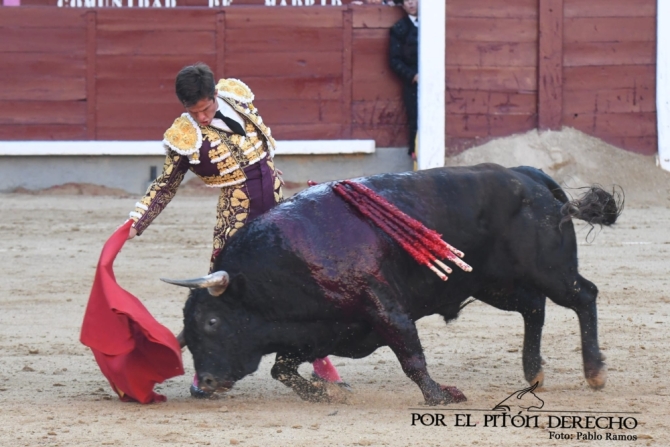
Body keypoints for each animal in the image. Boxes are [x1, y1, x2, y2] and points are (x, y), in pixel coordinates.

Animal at [169, 164, 624, 406]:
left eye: (211, 322)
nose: (205, 382)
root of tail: (526, 175)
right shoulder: (320, 330)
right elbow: (282, 368)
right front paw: (324, 395)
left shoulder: (384, 306)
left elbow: (411, 357)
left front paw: (441, 396)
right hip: (494, 285)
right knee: (534, 308)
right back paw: (533, 373)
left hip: (551, 271)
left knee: (584, 296)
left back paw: (594, 372)